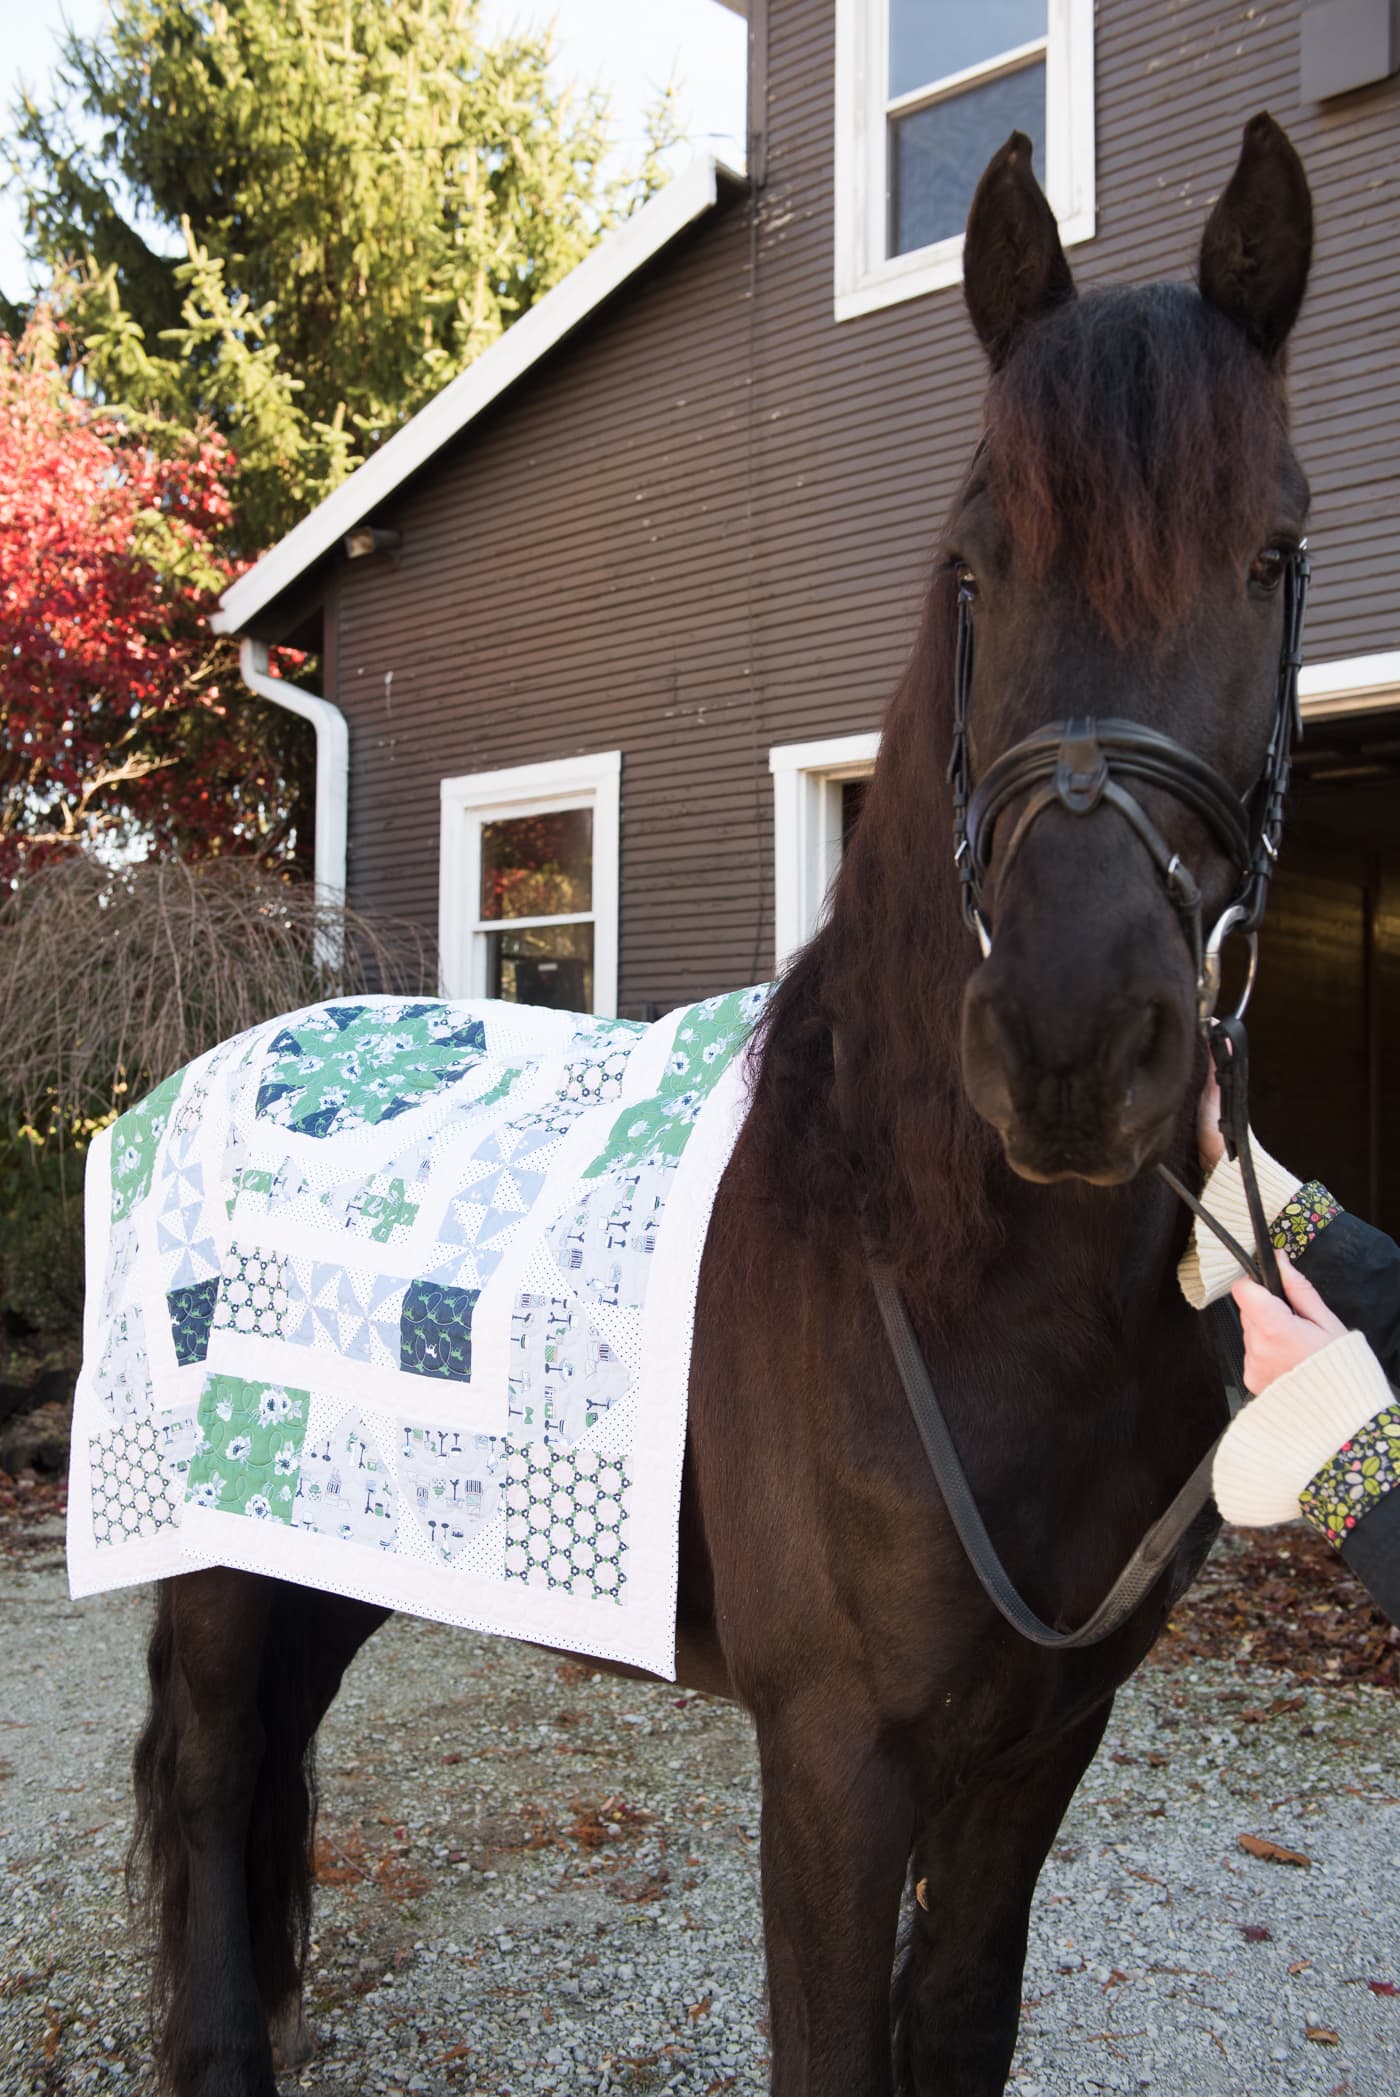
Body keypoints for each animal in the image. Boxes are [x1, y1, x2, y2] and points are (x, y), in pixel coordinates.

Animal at [128, 119, 1316, 2097]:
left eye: (1272, 553)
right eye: (976, 564)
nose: (1073, 1045)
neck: (932, 1255)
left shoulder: (1037, 1747)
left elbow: (958, 2020)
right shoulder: (833, 1758)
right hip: (222, 1563)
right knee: (217, 1779)